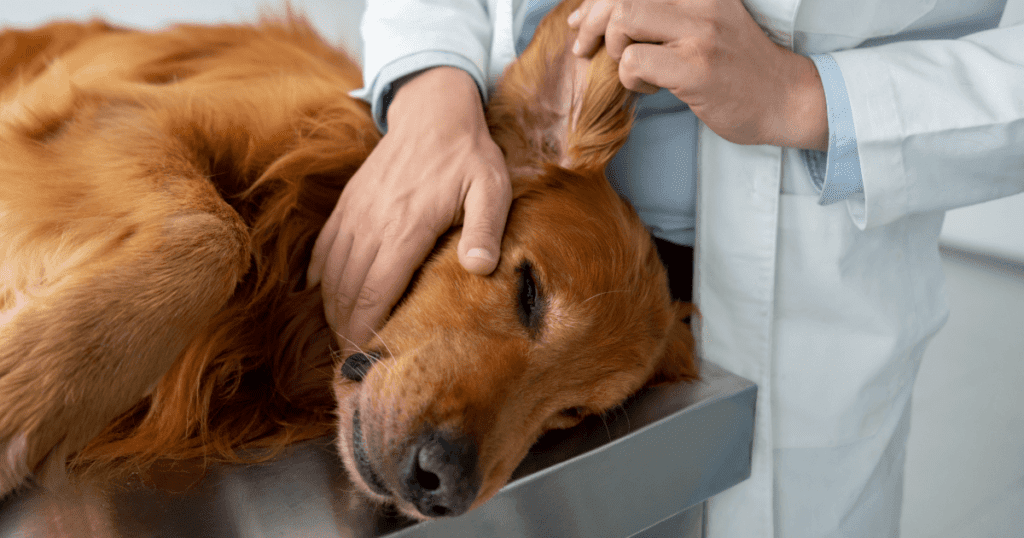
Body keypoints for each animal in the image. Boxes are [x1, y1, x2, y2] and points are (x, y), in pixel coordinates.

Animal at [0, 0, 696, 520]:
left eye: (573, 411)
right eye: (529, 292)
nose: (441, 483)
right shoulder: (108, 115)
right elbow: (213, 234)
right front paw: (23, 394)